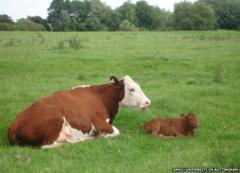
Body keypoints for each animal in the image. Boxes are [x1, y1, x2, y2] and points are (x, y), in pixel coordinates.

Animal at [8, 75, 151, 149]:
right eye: (131, 89)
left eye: (139, 86)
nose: (148, 102)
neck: (101, 97)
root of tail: (13, 125)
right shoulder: (99, 122)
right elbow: (116, 131)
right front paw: (99, 135)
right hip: (56, 120)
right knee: (50, 145)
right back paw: (87, 138)